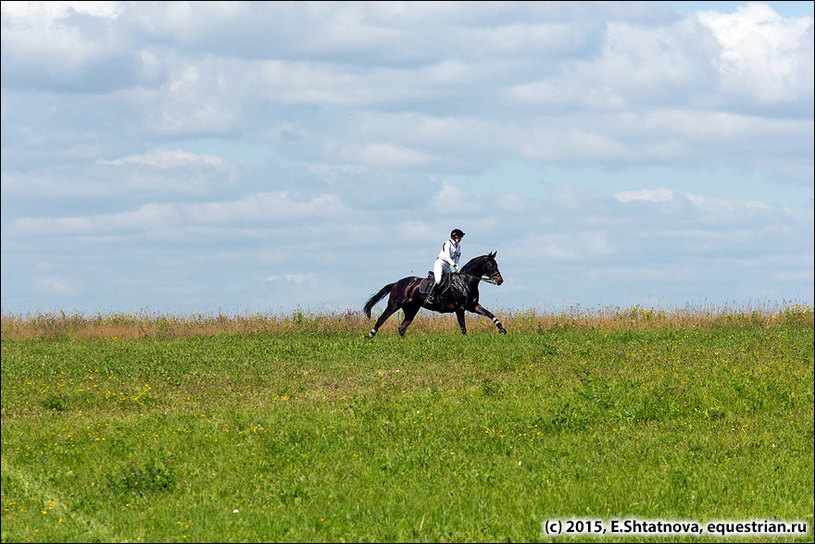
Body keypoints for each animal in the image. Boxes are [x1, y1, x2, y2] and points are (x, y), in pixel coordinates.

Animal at [364, 252, 504, 338]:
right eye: (490, 264)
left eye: (497, 264)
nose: (500, 281)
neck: (465, 281)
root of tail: (397, 283)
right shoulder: (460, 308)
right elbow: (462, 326)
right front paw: (465, 339)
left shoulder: (473, 306)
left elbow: (489, 314)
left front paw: (502, 329)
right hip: (394, 304)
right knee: (381, 319)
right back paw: (369, 336)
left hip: (411, 309)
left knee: (402, 327)